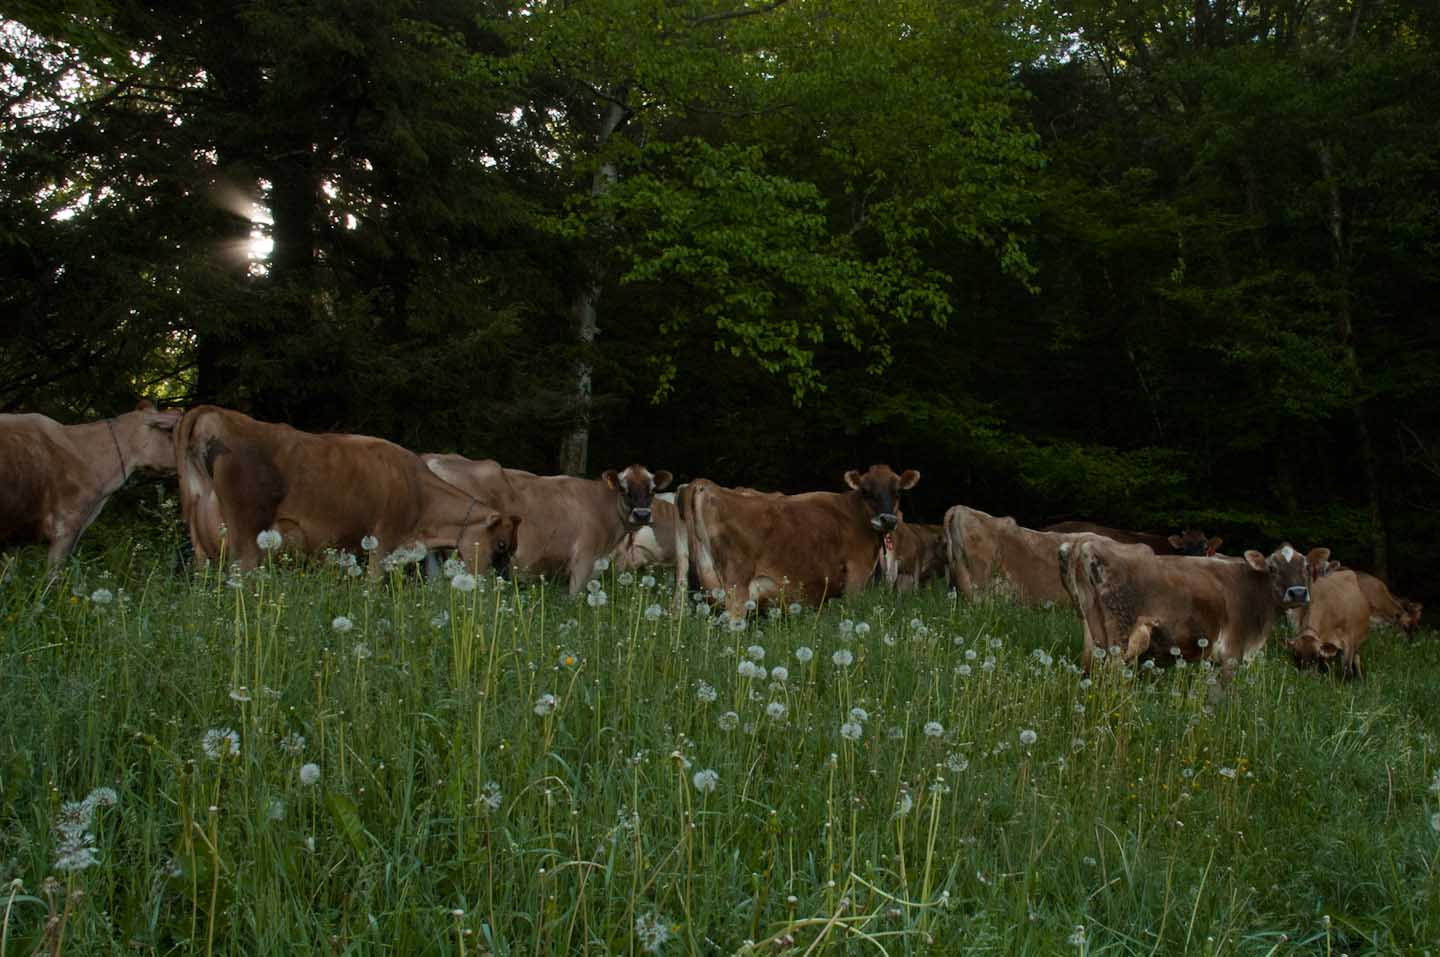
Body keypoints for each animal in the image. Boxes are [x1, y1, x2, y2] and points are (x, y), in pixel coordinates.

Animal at [175, 406, 519, 574]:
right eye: (501, 545)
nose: (502, 581)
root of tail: (214, 414)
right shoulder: (383, 544)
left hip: (202, 550)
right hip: (245, 542)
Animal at [675, 465, 920, 616]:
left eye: (898, 491)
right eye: (865, 491)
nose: (888, 520)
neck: (855, 513)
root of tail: (706, 485)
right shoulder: (856, 578)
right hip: (736, 588)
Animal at [1059, 538, 1321, 678]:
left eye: (1307, 567)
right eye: (1272, 568)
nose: (1298, 592)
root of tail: (1085, 543)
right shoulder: (1232, 653)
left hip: (1092, 635)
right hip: (1120, 639)